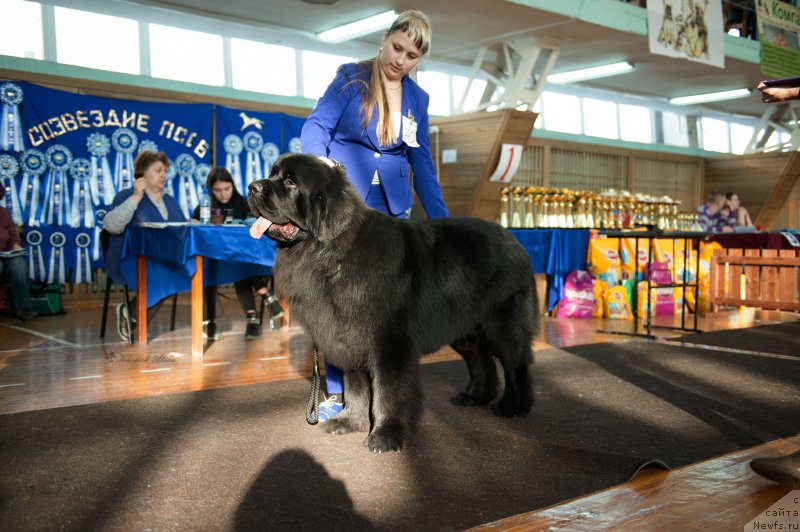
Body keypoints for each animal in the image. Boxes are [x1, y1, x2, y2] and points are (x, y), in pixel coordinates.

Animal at [248, 154, 536, 454]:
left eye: (291, 182)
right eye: (272, 173)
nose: (252, 187)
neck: (330, 254)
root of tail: (514, 239)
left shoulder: (389, 343)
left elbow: (387, 392)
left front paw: (385, 435)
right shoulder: (348, 336)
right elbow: (355, 388)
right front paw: (350, 421)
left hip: (503, 324)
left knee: (515, 364)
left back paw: (514, 406)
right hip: (463, 329)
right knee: (482, 361)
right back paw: (474, 396)